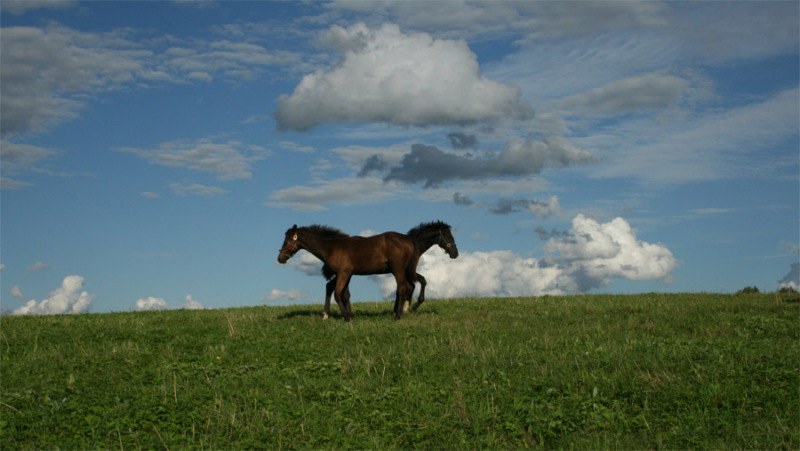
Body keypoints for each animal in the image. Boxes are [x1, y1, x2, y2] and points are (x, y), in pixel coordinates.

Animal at [278, 225, 416, 322]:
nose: (280, 258)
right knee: (409, 287)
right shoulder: (347, 274)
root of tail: (408, 240)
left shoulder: (343, 273)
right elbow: (345, 294)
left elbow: (337, 293)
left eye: (287, 240)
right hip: (402, 271)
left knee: (402, 289)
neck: (332, 247)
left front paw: (346, 317)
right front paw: (349, 315)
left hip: (398, 270)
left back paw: (397, 316)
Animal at [320, 221, 456, 320]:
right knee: (332, 287)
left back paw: (327, 314)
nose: (455, 253)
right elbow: (414, 284)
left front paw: (402, 309)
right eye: (447, 236)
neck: (414, 244)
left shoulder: (405, 272)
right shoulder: (405, 272)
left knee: (330, 286)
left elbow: (415, 284)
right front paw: (408, 307)